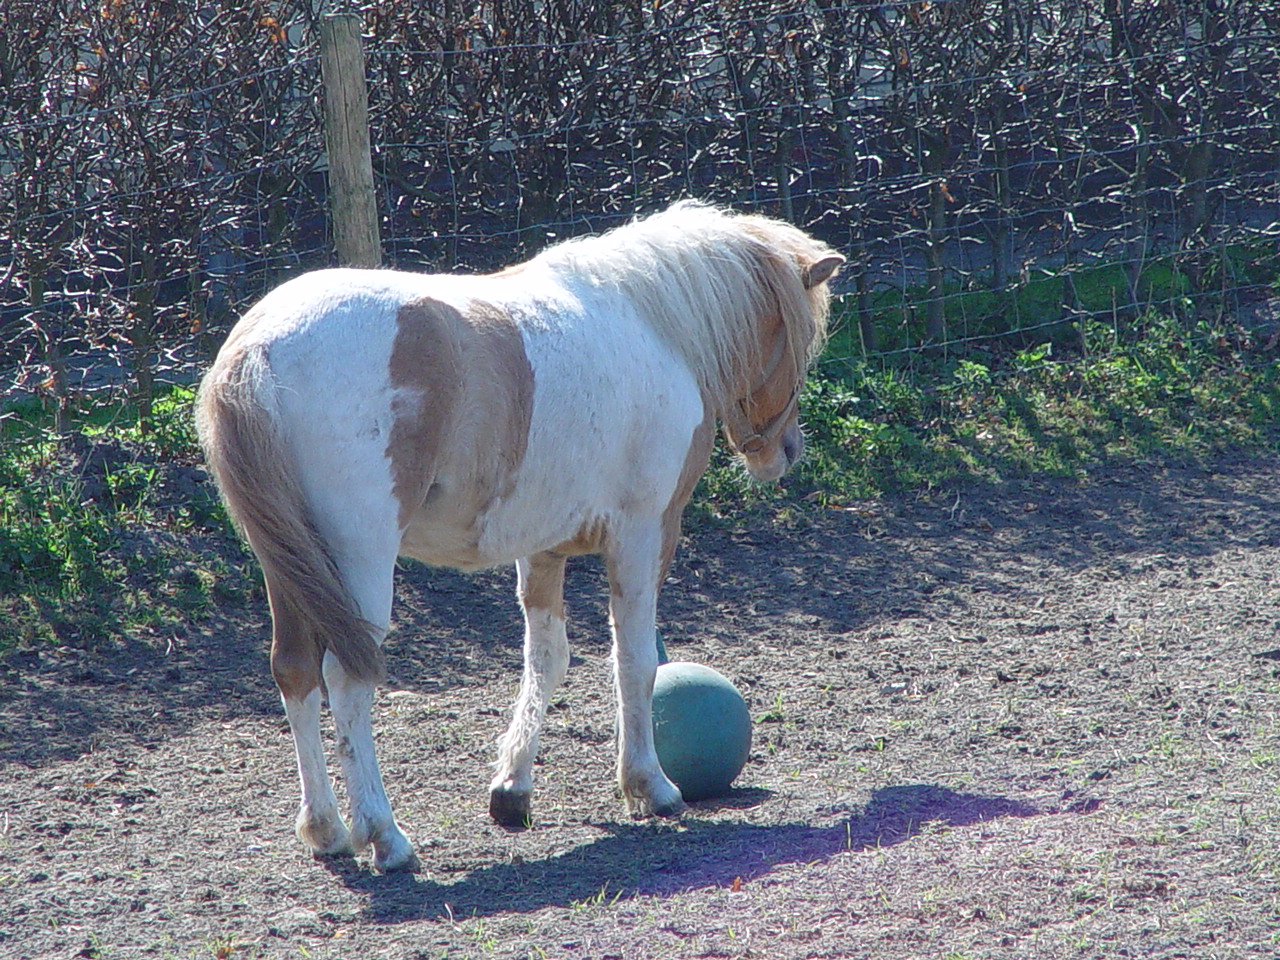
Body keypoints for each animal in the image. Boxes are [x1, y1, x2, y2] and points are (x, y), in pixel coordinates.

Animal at [194, 203, 844, 870]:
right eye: (795, 337)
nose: (785, 451)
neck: (654, 325)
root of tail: (259, 347)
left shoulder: (544, 548)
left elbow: (548, 659)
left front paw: (512, 790)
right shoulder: (643, 535)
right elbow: (634, 660)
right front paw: (650, 786)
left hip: (289, 568)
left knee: (294, 671)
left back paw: (325, 829)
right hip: (359, 563)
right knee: (347, 681)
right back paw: (384, 835)